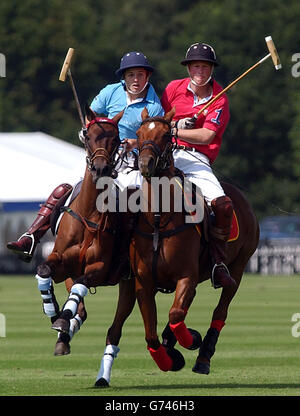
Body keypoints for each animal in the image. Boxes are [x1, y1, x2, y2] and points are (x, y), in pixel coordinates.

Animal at [35, 106, 137, 384]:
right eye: (89, 136)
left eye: (116, 139)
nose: (100, 168)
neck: (89, 212)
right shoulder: (61, 260)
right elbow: (44, 271)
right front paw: (53, 311)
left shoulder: (100, 267)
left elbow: (82, 285)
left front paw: (63, 319)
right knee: (81, 309)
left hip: (131, 283)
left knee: (114, 329)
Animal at [131, 107, 260, 374]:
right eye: (138, 133)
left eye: (166, 135)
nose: (146, 164)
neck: (159, 219)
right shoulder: (144, 282)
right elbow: (151, 333)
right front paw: (168, 357)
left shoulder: (186, 275)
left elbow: (176, 315)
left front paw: (191, 340)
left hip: (239, 265)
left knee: (221, 309)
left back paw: (203, 357)